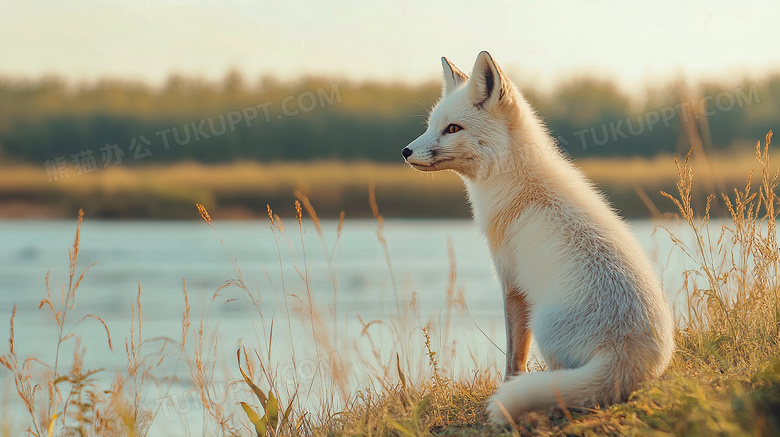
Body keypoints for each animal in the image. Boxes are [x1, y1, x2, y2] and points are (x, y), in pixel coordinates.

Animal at [400, 52, 672, 422]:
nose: (405, 151)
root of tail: (626, 354)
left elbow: (513, 360)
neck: (517, 182)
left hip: (544, 327)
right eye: (430, 126)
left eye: (452, 128)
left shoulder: (511, 284)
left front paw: (501, 397)